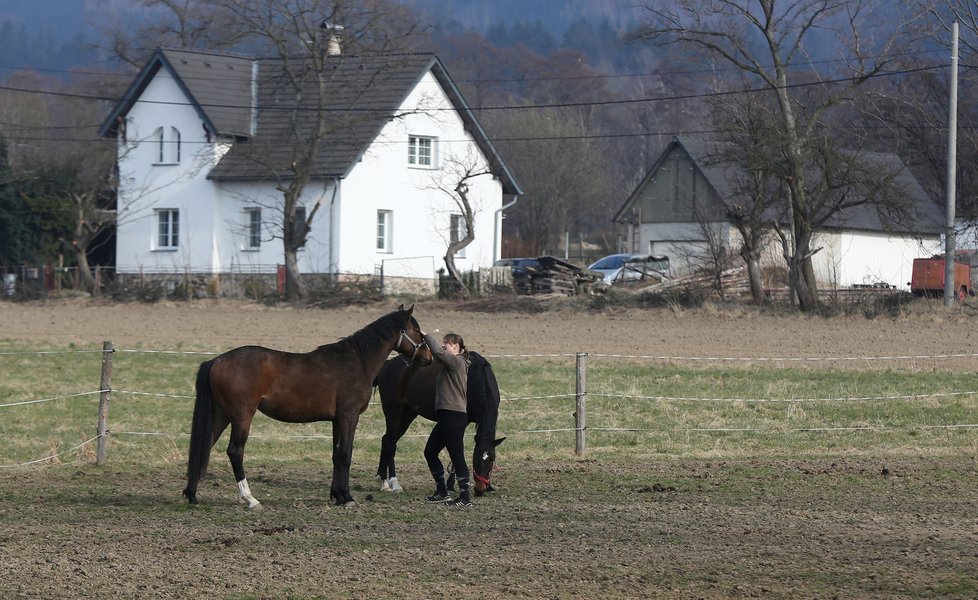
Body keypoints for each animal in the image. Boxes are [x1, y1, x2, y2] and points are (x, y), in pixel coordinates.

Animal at [182, 304, 428, 506]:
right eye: (416, 329)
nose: (429, 357)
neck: (357, 361)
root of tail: (216, 360)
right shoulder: (349, 417)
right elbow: (346, 455)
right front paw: (347, 498)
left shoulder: (337, 420)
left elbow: (336, 455)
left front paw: (337, 496)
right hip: (242, 417)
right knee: (235, 452)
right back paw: (250, 498)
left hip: (221, 415)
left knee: (205, 445)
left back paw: (191, 494)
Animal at [374, 352, 504, 496]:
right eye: (474, 458)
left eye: (492, 459)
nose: (480, 489)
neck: (476, 379)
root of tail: (388, 364)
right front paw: (450, 485)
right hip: (394, 412)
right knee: (390, 442)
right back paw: (389, 482)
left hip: (408, 414)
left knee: (388, 440)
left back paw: (385, 480)